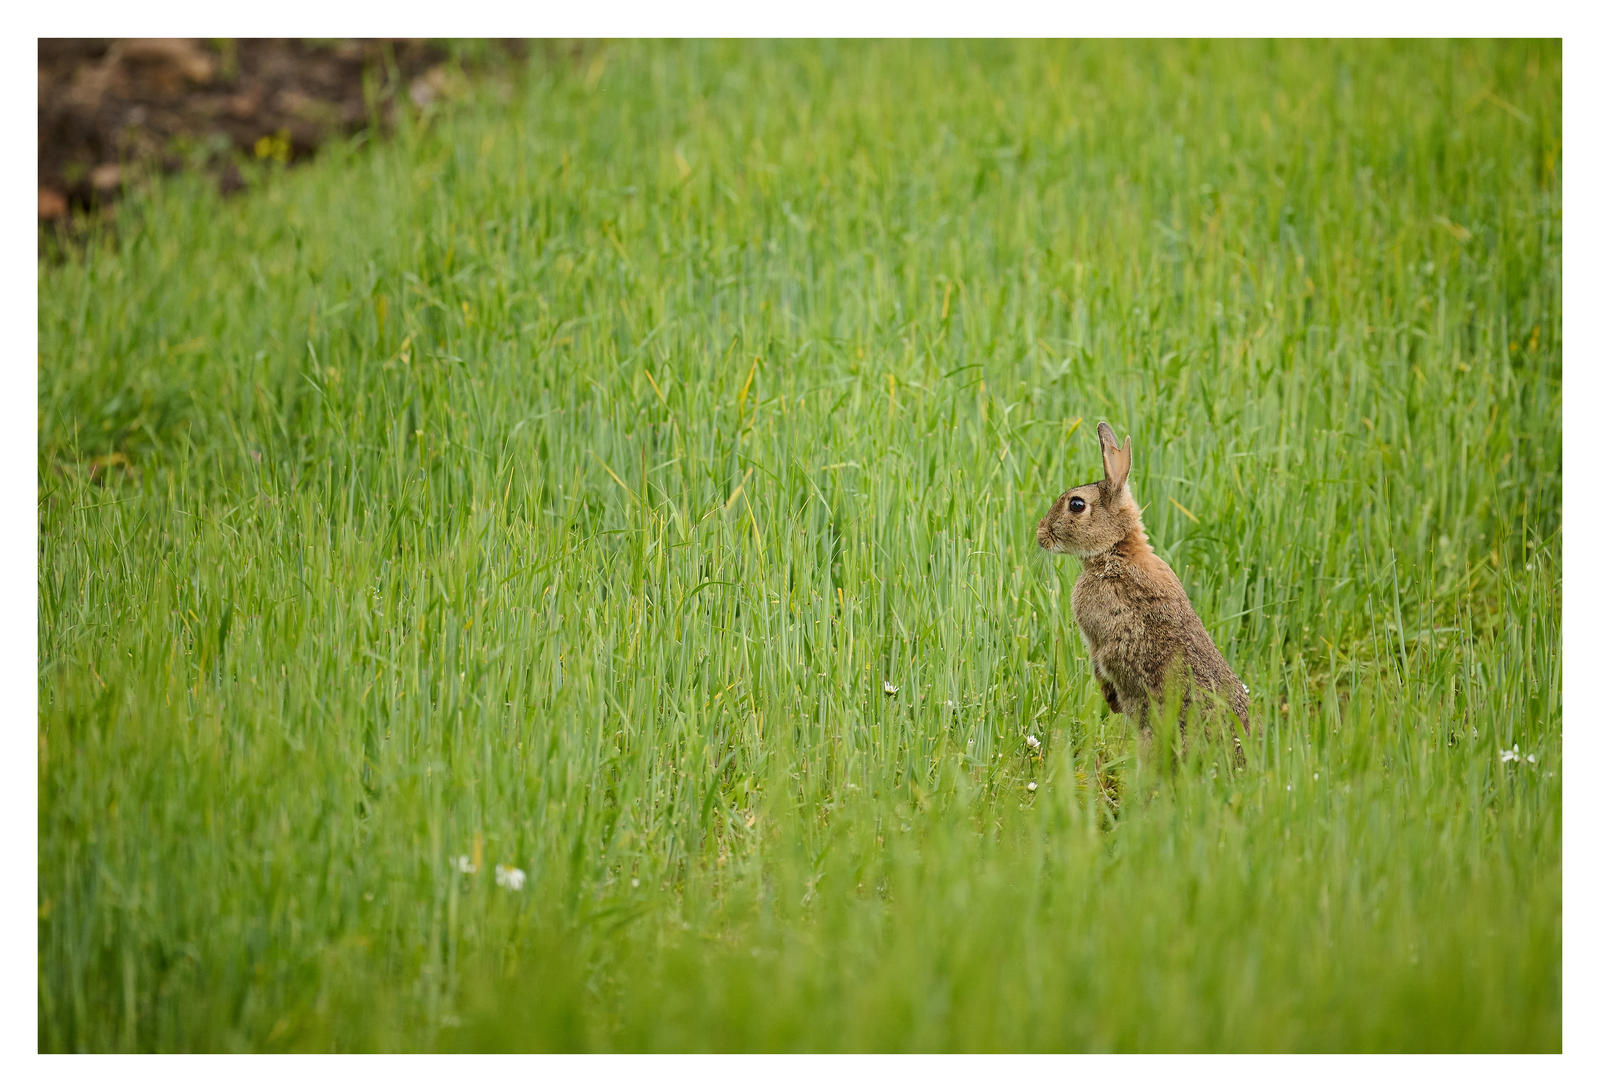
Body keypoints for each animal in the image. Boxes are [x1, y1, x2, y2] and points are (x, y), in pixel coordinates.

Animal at [1036, 422, 1250, 751]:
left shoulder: (1098, 635)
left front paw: (1111, 701)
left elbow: (1102, 661)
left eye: (1076, 504)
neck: (1116, 551)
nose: (1040, 534)